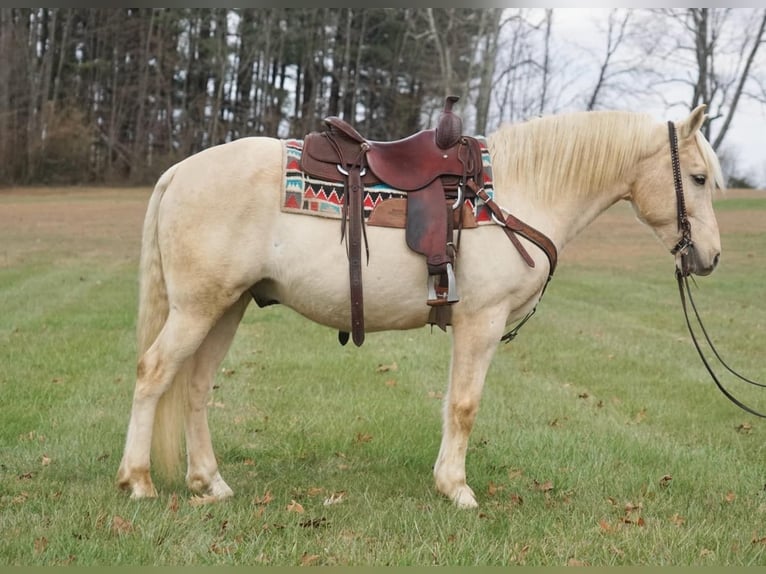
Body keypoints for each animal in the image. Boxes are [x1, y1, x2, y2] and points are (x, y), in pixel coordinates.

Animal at [116, 104, 723, 509]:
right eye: (696, 178)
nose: (711, 256)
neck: (515, 192)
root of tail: (180, 170)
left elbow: (451, 404)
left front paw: (445, 480)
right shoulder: (481, 321)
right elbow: (465, 406)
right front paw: (458, 489)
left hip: (228, 306)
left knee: (196, 387)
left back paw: (209, 482)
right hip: (198, 308)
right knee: (152, 373)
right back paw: (138, 480)